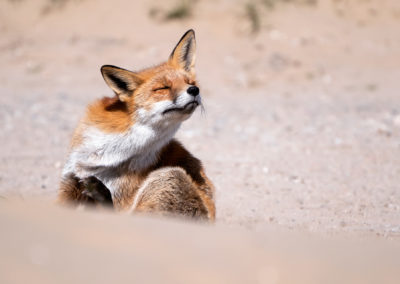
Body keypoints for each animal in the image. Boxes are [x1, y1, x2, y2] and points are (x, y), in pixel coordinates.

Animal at [57, 30, 216, 221]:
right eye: (162, 88)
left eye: (190, 83)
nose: (194, 90)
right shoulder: (69, 181)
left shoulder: (122, 195)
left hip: (168, 175)